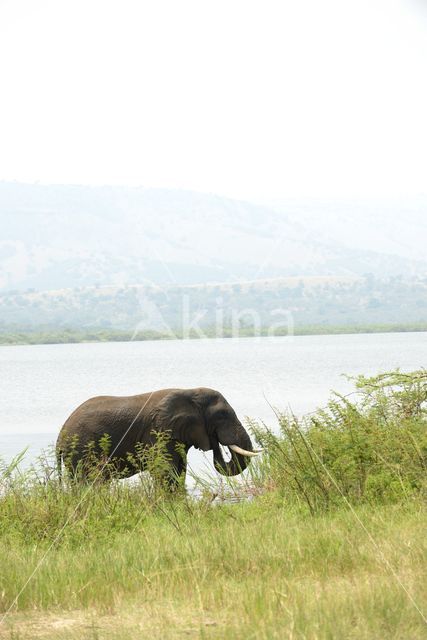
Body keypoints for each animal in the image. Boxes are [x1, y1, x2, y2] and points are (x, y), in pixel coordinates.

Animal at [55, 388, 260, 488]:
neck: (189, 391)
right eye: (222, 415)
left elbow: (180, 470)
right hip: (80, 449)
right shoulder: (158, 431)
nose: (216, 443)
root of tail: (60, 436)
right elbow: (164, 469)